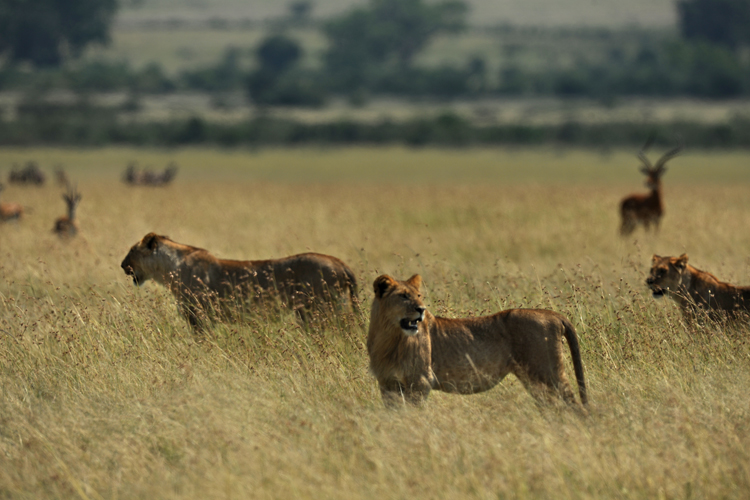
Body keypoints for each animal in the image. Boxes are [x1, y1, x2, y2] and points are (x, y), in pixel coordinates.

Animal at [119, 232, 358, 330]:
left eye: (131, 251)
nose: (122, 265)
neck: (170, 269)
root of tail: (341, 263)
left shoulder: (199, 317)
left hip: (318, 311)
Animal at [368, 274, 592, 410]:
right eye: (403, 296)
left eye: (418, 295)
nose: (421, 309)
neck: (389, 337)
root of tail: (554, 314)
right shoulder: (387, 383)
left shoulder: (421, 381)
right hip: (534, 380)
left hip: (549, 372)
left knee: (575, 406)